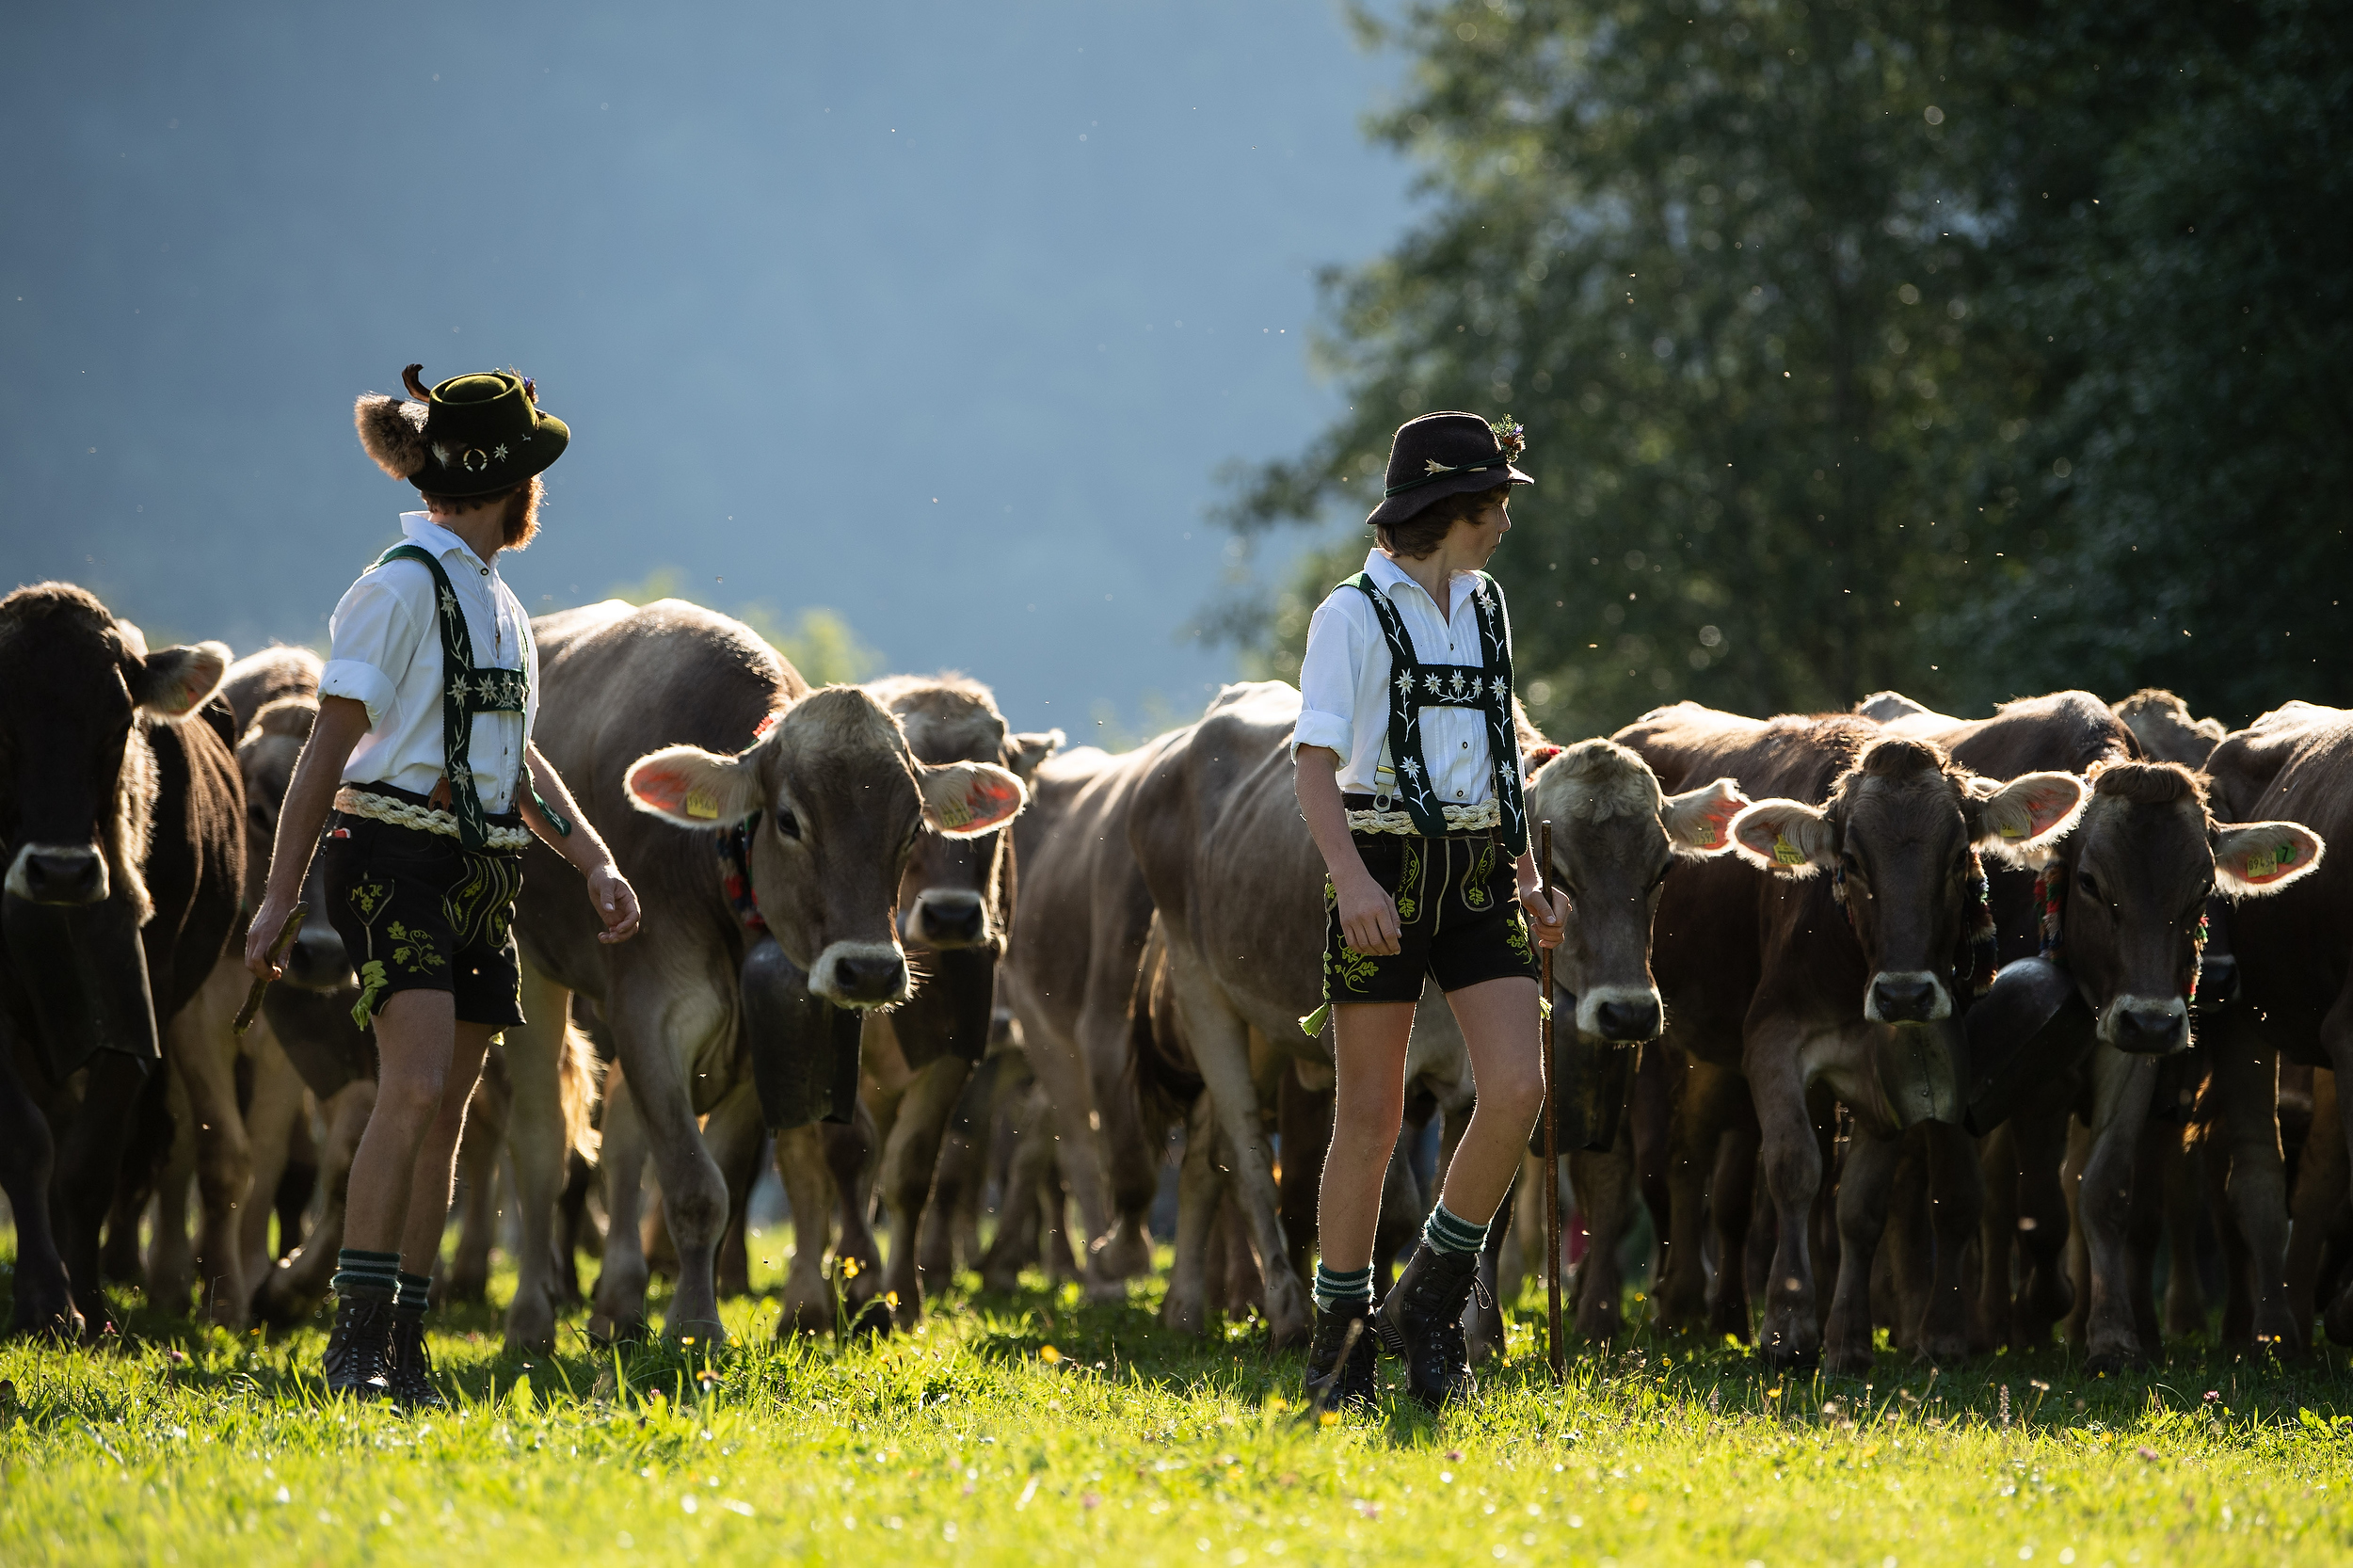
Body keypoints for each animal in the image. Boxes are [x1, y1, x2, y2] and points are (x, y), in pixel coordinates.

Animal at [1619, 701, 2080, 1365]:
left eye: (1958, 857)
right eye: (1853, 862)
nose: (1904, 994)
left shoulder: (1887, 1072)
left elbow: (1861, 1205)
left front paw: (1848, 1340)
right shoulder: (1772, 1040)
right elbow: (1793, 1169)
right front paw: (1787, 1329)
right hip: (1675, 1044)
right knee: (1678, 1159)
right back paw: (1679, 1304)